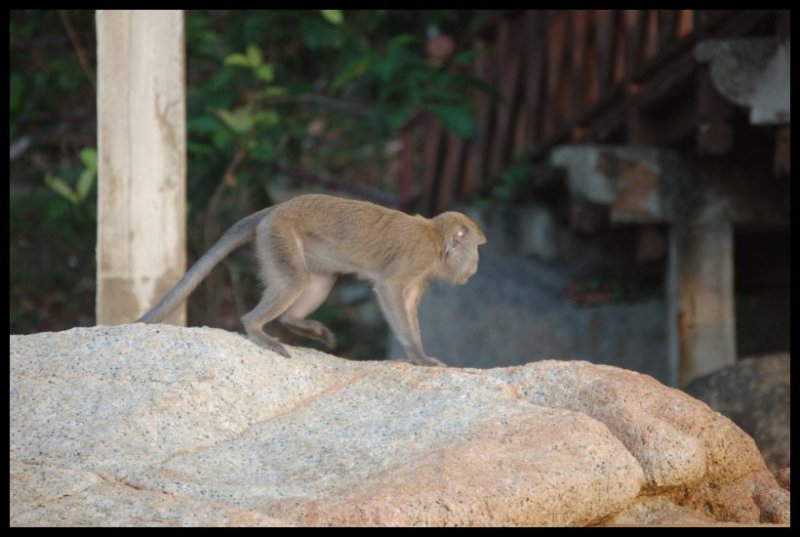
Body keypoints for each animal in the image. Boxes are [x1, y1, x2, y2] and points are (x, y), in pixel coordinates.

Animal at [138, 194, 487, 366]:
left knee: (318, 280)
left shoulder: (422, 273)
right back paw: (256, 327)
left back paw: (295, 321)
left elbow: (409, 302)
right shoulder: (415, 260)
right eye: (476, 249)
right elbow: (389, 289)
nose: (477, 266)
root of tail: (274, 208)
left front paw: (420, 354)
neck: (435, 240)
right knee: (294, 280)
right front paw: (417, 356)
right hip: (279, 236)